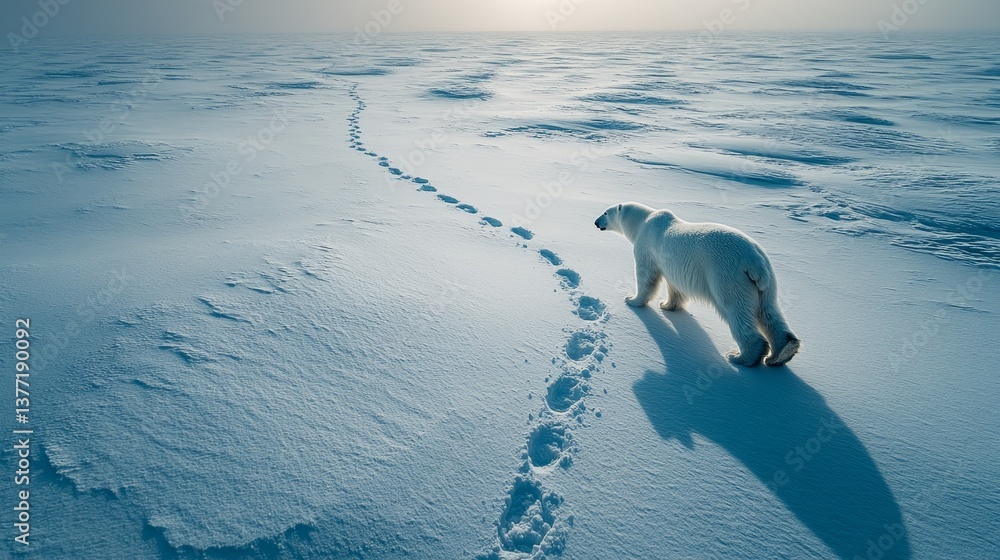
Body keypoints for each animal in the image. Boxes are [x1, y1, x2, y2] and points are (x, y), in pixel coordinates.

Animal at [595, 202, 800, 367]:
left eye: (605, 212)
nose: (596, 222)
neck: (643, 221)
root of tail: (754, 260)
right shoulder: (672, 265)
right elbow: (674, 286)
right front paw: (667, 305)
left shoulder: (647, 246)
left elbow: (646, 275)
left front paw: (632, 299)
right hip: (766, 281)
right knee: (769, 311)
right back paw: (781, 353)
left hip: (728, 275)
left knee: (736, 309)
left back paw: (742, 356)